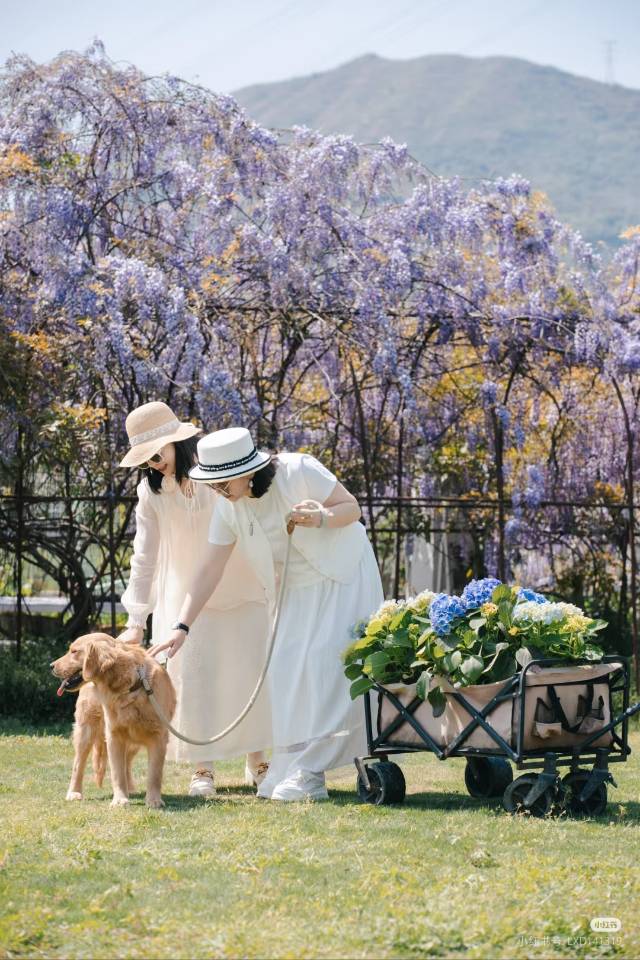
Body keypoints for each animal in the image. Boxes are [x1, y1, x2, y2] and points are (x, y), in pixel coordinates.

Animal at [51, 633, 176, 808]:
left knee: (127, 763)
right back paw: (74, 792)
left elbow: (154, 773)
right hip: (86, 731)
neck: (130, 686)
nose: (51, 666)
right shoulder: (114, 735)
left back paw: (131, 788)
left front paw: (153, 800)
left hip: (132, 742)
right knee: (78, 765)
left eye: (74, 651)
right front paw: (119, 800)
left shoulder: (158, 736)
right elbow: (117, 772)